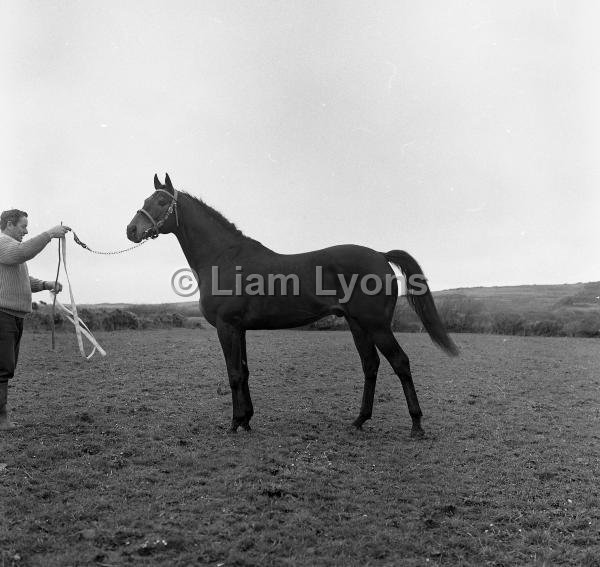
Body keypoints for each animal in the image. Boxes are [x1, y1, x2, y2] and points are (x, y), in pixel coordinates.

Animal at [125, 173, 454, 440]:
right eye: (146, 199)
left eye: (161, 200)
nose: (131, 230)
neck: (223, 258)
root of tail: (380, 255)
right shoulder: (240, 329)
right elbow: (244, 371)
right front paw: (247, 420)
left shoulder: (226, 327)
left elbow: (233, 373)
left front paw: (234, 423)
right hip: (357, 324)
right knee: (370, 365)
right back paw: (359, 420)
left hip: (376, 325)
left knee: (400, 362)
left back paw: (416, 425)